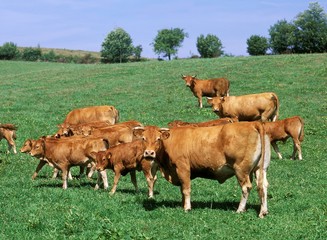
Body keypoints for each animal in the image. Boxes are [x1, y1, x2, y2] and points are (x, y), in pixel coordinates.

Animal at [133, 123, 272, 218]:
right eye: (143, 138)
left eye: (158, 139)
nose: (149, 153)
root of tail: (252, 123)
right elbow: (182, 189)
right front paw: (182, 204)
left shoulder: (183, 167)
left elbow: (186, 189)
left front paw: (187, 207)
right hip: (260, 168)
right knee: (263, 186)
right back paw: (263, 211)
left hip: (241, 170)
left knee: (246, 187)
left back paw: (240, 209)